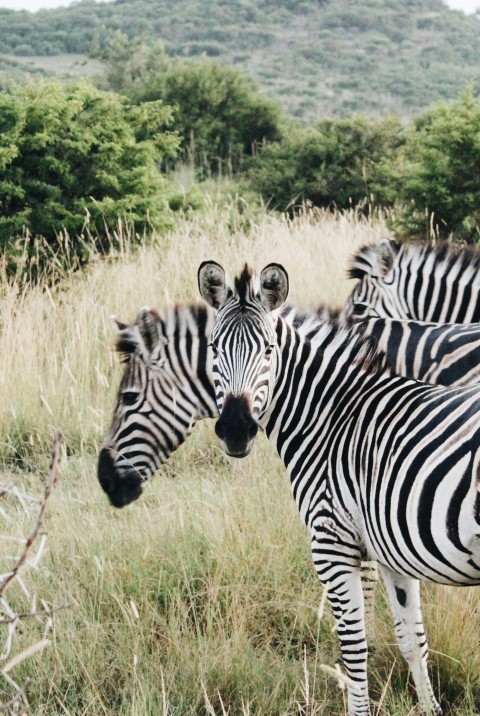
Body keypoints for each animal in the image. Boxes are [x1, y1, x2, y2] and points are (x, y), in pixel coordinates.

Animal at [198, 260, 480, 716]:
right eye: (214, 348)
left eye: (269, 351)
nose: (237, 430)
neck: (330, 418)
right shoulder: (389, 550)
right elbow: (412, 640)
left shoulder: (333, 546)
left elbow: (354, 647)